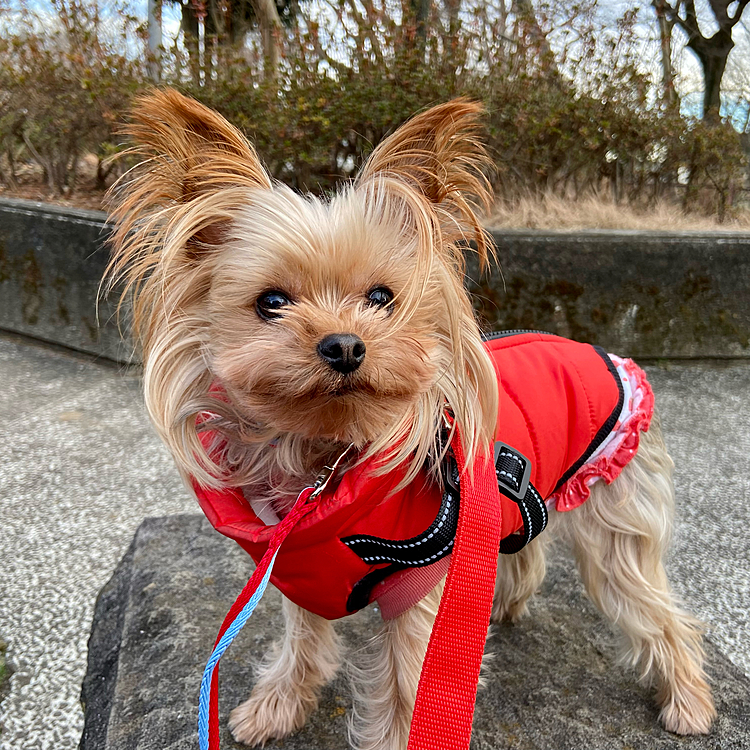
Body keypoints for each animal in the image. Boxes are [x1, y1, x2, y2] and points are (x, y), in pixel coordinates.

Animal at [106, 89, 716, 750]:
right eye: (271, 303)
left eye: (381, 299)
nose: (345, 345)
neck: (324, 461)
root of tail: (612, 356)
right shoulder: (296, 572)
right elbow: (301, 643)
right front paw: (275, 707)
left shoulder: (415, 585)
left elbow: (407, 691)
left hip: (613, 516)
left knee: (656, 612)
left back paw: (688, 704)